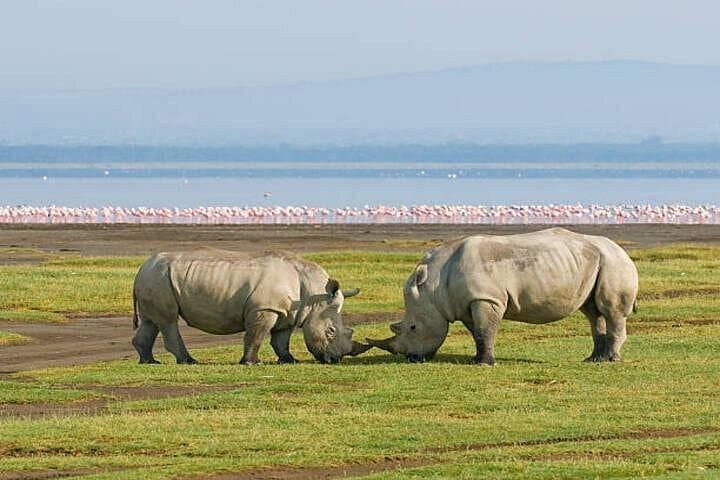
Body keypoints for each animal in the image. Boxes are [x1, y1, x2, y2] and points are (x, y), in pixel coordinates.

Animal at [132, 249, 371, 365]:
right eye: (330, 331)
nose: (336, 360)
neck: (314, 295)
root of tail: (141, 267)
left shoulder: (287, 312)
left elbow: (281, 340)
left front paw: (289, 361)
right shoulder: (264, 308)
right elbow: (256, 335)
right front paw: (252, 363)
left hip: (155, 277)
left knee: (151, 321)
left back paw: (150, 362)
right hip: (159, 277)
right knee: (168, 320)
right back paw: (189, 361)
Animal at [368, 228, 638, 364]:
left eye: (413, 327)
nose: (411, 358)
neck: (434, 286)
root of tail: (623, 251)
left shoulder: (486, 298)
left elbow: (484, 330)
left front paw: (484, 364)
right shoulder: (468, 302)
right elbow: (477, 332)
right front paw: (477, 358)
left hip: (615, 263)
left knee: (611, 311)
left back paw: (611, 360)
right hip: (597, 263)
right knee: (593, 312)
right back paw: (593, 359)